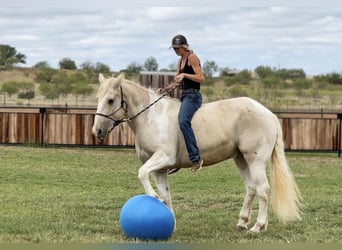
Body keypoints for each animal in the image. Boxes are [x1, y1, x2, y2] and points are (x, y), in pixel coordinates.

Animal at [92, 73, 300, 233]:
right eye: (98, 99)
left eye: (110, 100)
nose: (97, 131)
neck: (151, 117)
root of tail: (267, 113)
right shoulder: (160, 170)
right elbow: (166, 195)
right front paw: (171, 222)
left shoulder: (164, 157)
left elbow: (142, 173)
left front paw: (153, 197)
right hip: (241, 159)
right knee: (251, 188)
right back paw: (242, 223)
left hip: (255, 160)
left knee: (263, 189)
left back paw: (258, 226)